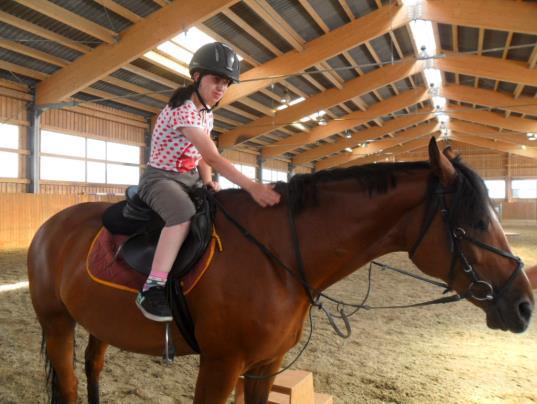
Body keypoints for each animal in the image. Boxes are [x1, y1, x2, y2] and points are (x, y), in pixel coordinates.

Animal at [28, 137, 532, 402]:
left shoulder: (263, 367)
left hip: (97, 323)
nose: (525, 306)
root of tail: (51, 225)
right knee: (68, 383)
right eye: (476, 221)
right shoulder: (221, 365)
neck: (280, 254)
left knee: (93, 367)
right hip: (56, 322)